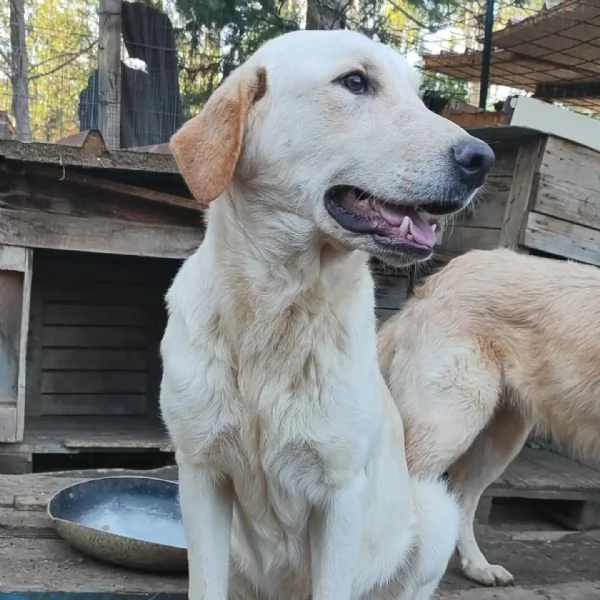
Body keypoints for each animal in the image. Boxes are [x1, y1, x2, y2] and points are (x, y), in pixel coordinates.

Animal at [158, 28, 492, 600]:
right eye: (355, 82)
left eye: (419, 95)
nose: (482, 157)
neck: (278, 303)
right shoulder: (200, 476)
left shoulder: (341, 495)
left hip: (433, 512)